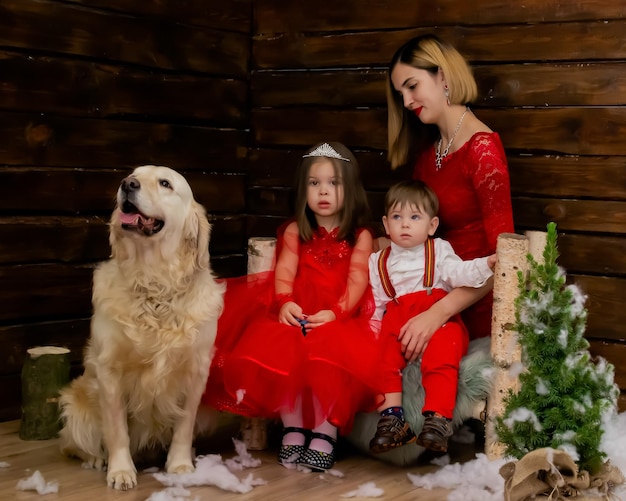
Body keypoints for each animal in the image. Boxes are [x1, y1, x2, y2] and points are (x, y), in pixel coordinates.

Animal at [58, 164, 223, 488]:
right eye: (134, 174)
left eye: (165, 183)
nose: (127, 184)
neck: (154, 283)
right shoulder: (110, 371)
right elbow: (117, 430)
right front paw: (121, 471)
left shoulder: (196, 371)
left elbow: (184, 425)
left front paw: (180, 465)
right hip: (76, 409)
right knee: (75, 444)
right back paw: (96, 459)